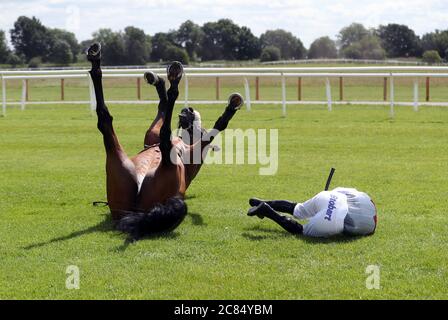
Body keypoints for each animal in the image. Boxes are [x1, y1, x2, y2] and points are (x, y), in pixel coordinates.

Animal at [86, 43, 243, 240]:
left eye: (201, 129)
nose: (189, 111)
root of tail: (142, 214)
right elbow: (163, 109)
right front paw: (158, 82)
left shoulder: (173, 142)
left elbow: (167, 115)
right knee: (108, 122)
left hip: (133, 165)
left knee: (111, 122)